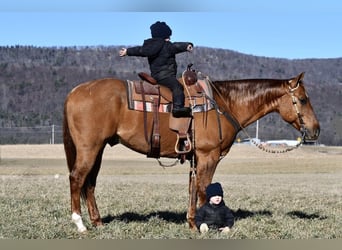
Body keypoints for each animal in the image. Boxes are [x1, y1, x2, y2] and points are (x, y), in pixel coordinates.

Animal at [62, 71, 320, 232]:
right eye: (303, 99)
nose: (316, 130)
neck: (224, 104)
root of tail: (75, 91)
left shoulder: (196, 158)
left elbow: (192, 189)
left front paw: (192, 222)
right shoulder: (209, 155)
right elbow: (204, 189)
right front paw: (203, 226)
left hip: (98, 149)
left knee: (90, 183)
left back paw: (98, 223)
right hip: (89, 148)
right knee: (77, 178)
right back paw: (80, 224)